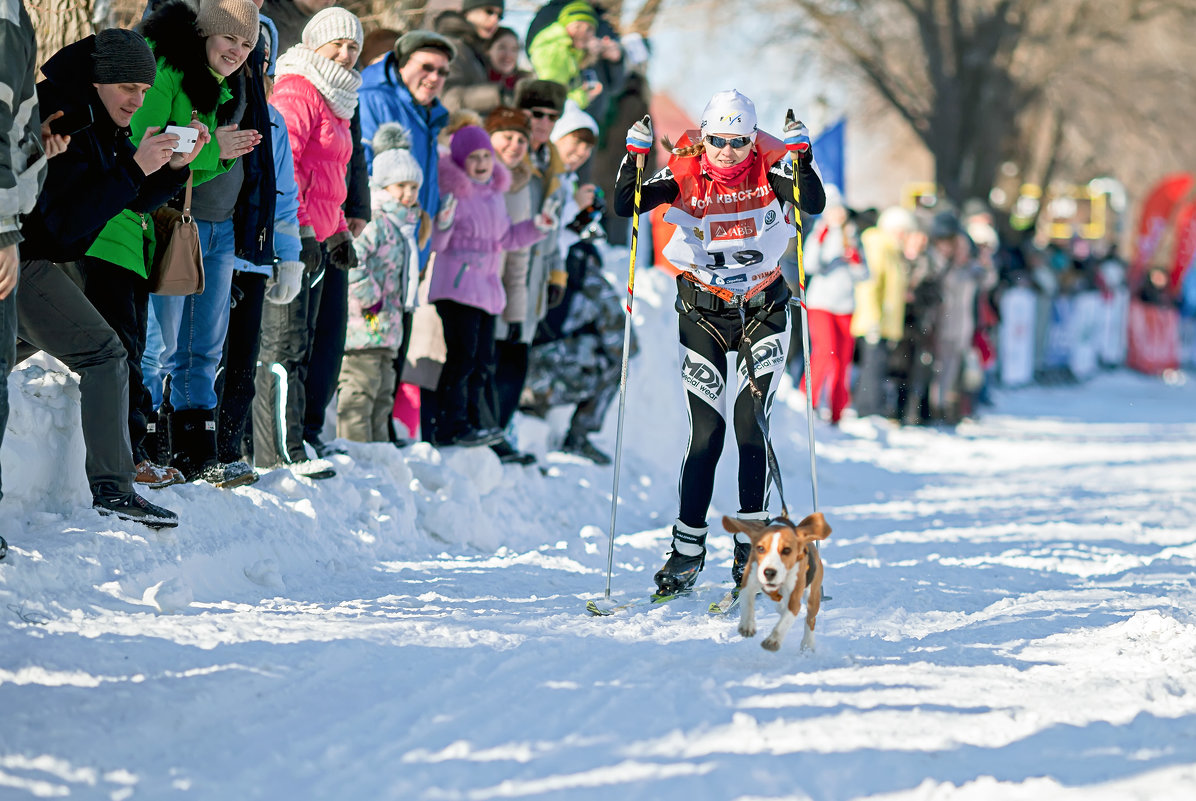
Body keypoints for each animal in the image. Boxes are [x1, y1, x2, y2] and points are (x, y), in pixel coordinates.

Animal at [717, 514, 832, 650]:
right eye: (761, 548)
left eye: (787, 550)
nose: (769, 572)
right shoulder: (748, 585)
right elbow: (746, 602)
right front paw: (747, 625)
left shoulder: (794, 600)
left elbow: (786, 620)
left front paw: (773, 640)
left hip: (813, 597)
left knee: (810, 619)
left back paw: (807, 645)